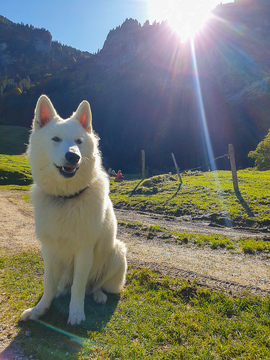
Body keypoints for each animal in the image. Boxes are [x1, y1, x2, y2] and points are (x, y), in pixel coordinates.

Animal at [20, 94, 127, 324]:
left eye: (79, 142)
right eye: (56, 139)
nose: (73, 157)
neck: (66, 198)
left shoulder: (84, 251)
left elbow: (78, 286)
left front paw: (76, 313)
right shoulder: (49, 250)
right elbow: (48, 284)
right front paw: (39, 309)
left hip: (116, 252)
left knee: (95, 285)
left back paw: (98, 295)